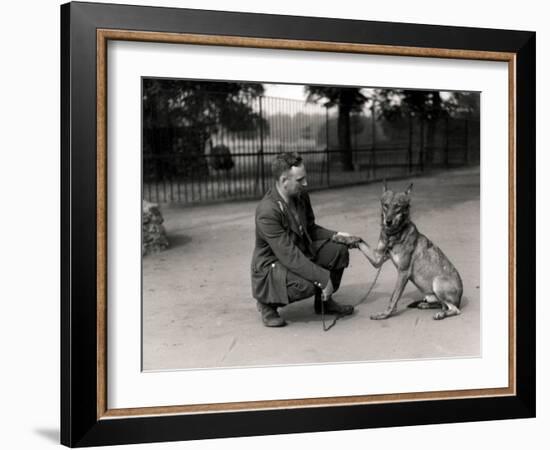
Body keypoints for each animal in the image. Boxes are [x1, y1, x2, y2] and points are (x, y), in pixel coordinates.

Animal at [360, 182, 464, 320]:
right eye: (385, 205)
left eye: (397, 207)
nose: (388, 222)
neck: (393, 235)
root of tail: (460, 299)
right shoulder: (377, 259)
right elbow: (359, 241)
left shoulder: (403, 272)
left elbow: (393, 297)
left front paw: (385, 314)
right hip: (431, 295)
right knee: (442, 305)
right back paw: (425, 305)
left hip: (437, 283)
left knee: (454, 309)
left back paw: (441, 314)